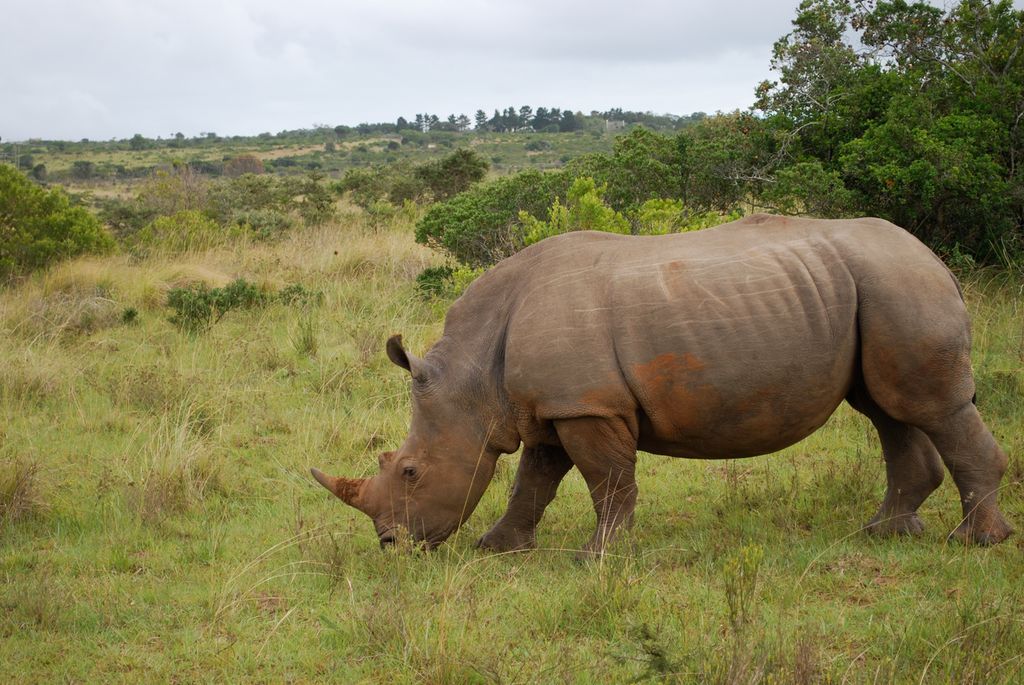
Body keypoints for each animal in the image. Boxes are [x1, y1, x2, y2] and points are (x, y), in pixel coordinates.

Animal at [312, 214, 1013, 556]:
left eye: (410, 472)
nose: (389, 544)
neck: (473, 377)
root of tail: (936, 259)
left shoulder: (587, 406)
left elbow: (607, 482)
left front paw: (598, 557)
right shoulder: (554, 406)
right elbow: (533, 482)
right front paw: (498, 548)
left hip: (899, 283)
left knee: (931, 407)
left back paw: (976, 543)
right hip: (876, 287)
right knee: (889, 410)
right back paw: (884, 534)